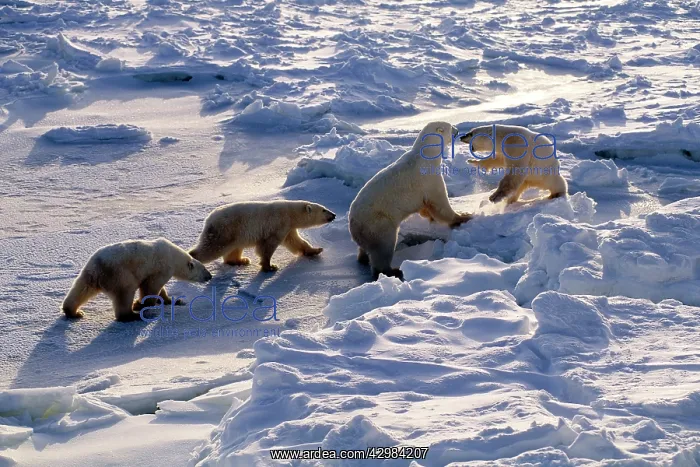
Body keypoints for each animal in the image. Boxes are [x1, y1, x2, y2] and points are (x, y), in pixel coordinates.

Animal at [62, 238, 212, 322]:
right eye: (204, 269)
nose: (210, 276)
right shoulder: (161, 267)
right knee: (125, 293)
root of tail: (99, 268)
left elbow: (159, 289)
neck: (173, 255)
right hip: (120, 275)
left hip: (89, 273)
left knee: (81, 289)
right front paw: (140, 304)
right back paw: (132, 315)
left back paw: (73, 312)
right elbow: (151, 286)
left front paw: (173, 300)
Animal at [188, 200, 336, 272]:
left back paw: (241, 260)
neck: (290, 213)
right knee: (211, 249)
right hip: (224, 231)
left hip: (234, 234)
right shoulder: (277, 224)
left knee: (234, 248)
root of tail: (208, 219)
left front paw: (316, 250)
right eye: (324, 210)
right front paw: (270, 267)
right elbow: (268, 246)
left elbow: (296, 241)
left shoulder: (288, 228)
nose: (334, 214)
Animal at [349, 121, 473, 280]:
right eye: (450, 127)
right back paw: (393, 270)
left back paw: (363, 257)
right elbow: (440, 203)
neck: (425, 156)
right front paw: (464, 216)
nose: (457, 130)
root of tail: (353, 224)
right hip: (378, 224)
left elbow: (426, 206)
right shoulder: (428, 179)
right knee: (383, 248)